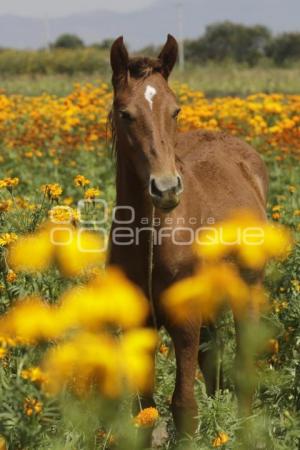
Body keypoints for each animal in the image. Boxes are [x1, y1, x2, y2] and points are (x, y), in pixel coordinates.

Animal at [109, 35, 268, 436]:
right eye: (125, 113)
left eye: (175, 111)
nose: (165, 189)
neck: (152, 234)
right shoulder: (139, 322)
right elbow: (143, 408)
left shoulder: (185, 319)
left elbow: (184, 407)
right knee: (213, 361)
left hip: (248, 289)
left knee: (242, 367)